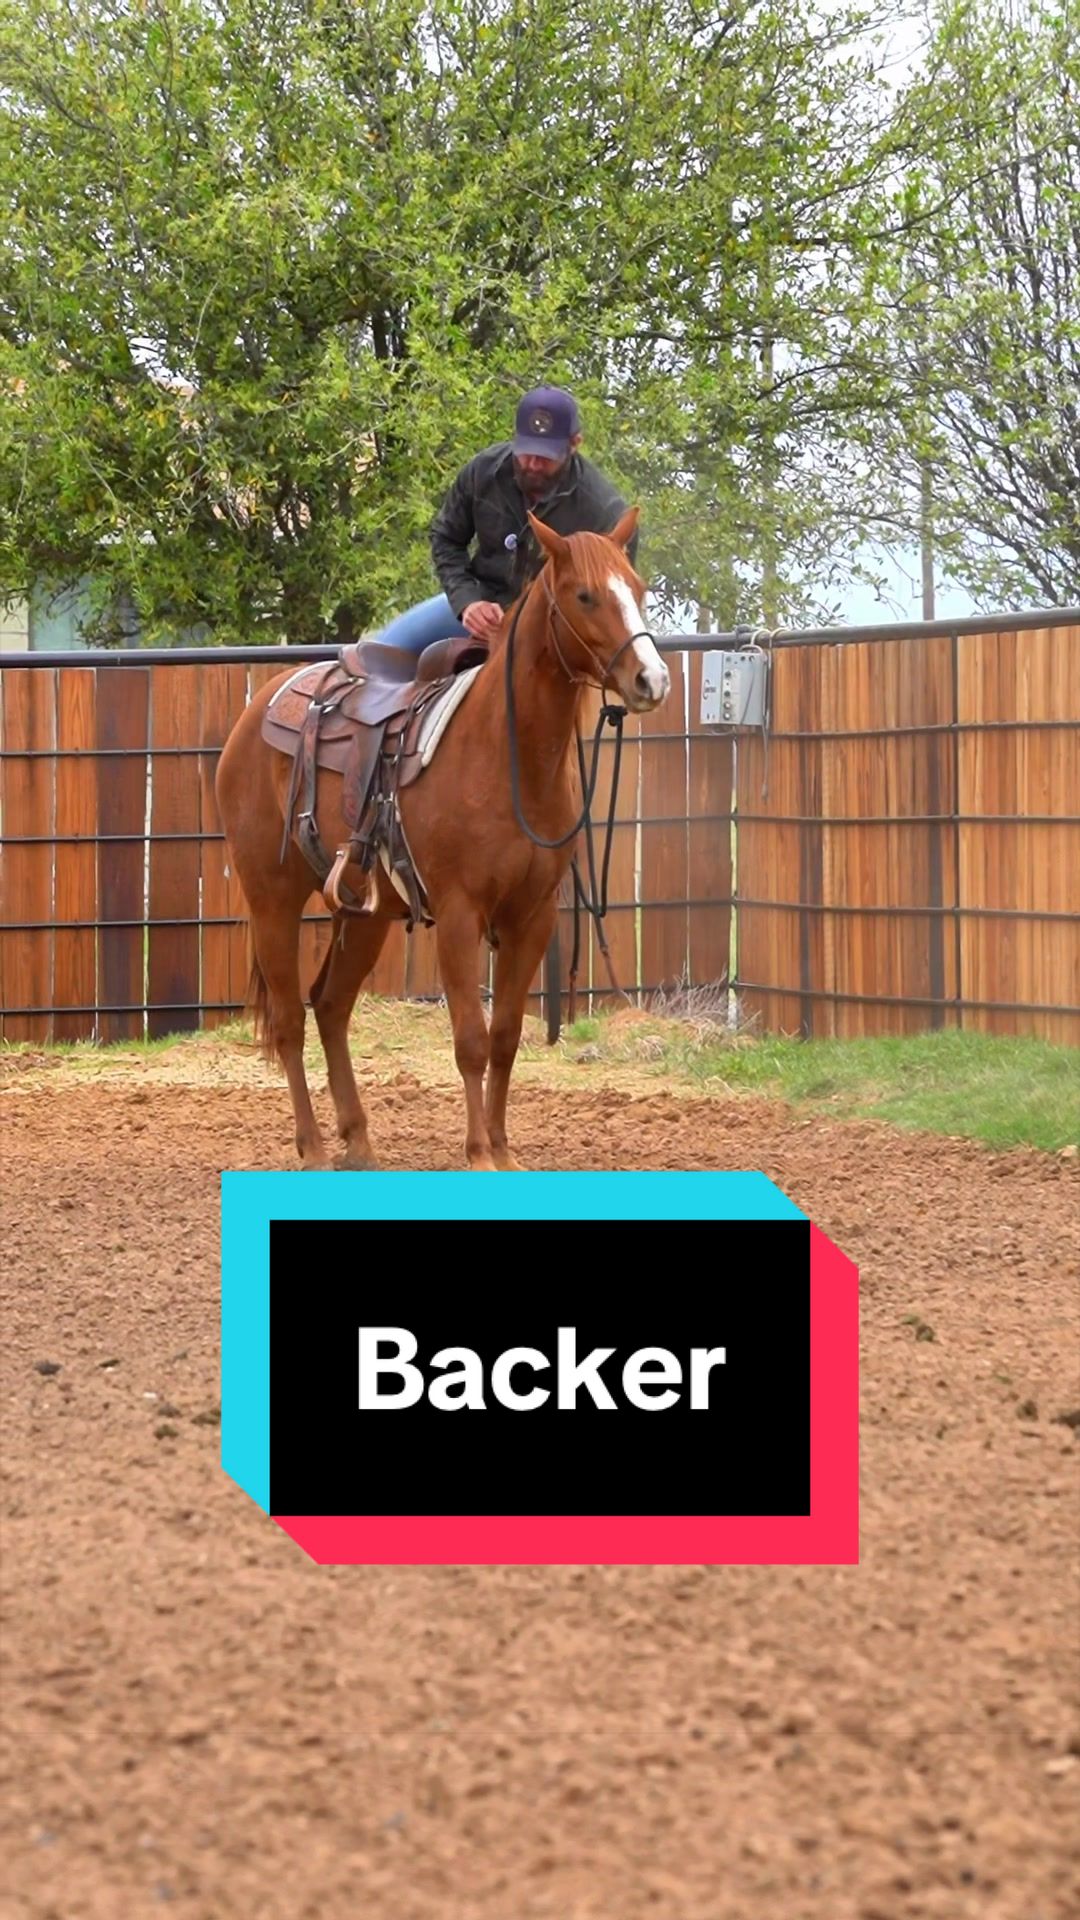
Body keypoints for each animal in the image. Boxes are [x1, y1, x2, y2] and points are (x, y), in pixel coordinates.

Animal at [214, 506, 670, 1171]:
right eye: (584, 595)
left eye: (637, 590)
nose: (651, 679)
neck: (506, 755)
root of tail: (261, 709)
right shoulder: (459, 914)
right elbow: (471, 1040)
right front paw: (478, 1153)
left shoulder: (532, 918)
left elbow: (505, 1036)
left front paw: (503, 1152)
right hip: (271, 897)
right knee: (290, 1020)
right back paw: (315, 1148)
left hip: (366, 915)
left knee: (331, 1005)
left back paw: (359, 1140)